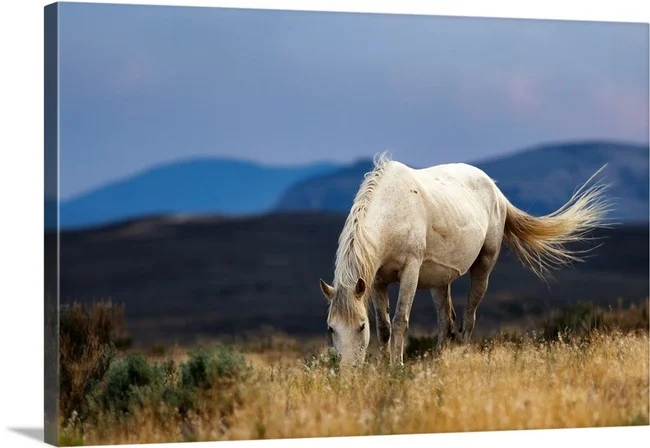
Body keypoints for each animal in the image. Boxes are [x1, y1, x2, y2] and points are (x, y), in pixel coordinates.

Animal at [318, 152, 611, 367]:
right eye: (331, 328)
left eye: (360, 326)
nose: (347, 374)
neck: (394, 210)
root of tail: (495, 189)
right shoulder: (378, 281)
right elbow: (384, 327)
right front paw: (382, 369)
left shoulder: (410, 271)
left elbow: (401, 320)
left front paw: (396, 368)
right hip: (439, 280)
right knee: (446, 324)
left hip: (483, 267)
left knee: (468, 320)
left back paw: (462, 358)